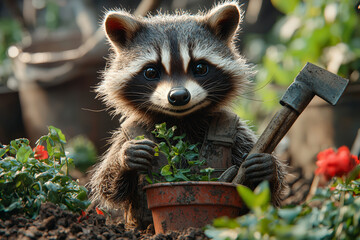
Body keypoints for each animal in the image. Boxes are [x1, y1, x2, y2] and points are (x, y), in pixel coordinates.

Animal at [90, 0, 286, 229]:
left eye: (200, 67)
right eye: (151, 72)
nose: (178, 96)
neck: (181, 120)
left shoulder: (237, 130)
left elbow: (266, 193)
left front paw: (268, 169)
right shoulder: (125, 133)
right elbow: (107, 186)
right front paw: (125, 158)